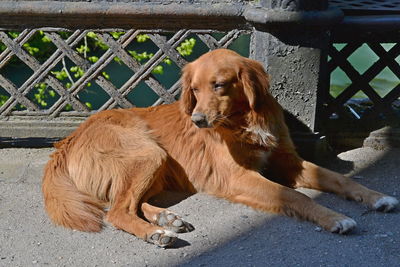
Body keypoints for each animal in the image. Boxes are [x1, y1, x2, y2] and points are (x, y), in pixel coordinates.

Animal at [42, 49, 398, 248]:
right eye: (194, 89)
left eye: (219, 85)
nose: (197, 120)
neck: (245, 120)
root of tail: (67, 140)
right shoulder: (237, 177)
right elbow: (295, 197)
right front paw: (334, 218)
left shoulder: (289, 162)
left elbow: (341, 179)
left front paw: (376, 197)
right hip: (149, 153)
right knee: (116, 211)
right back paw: (156, 234)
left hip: (154, 163)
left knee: (123, 203)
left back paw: (166, 219)